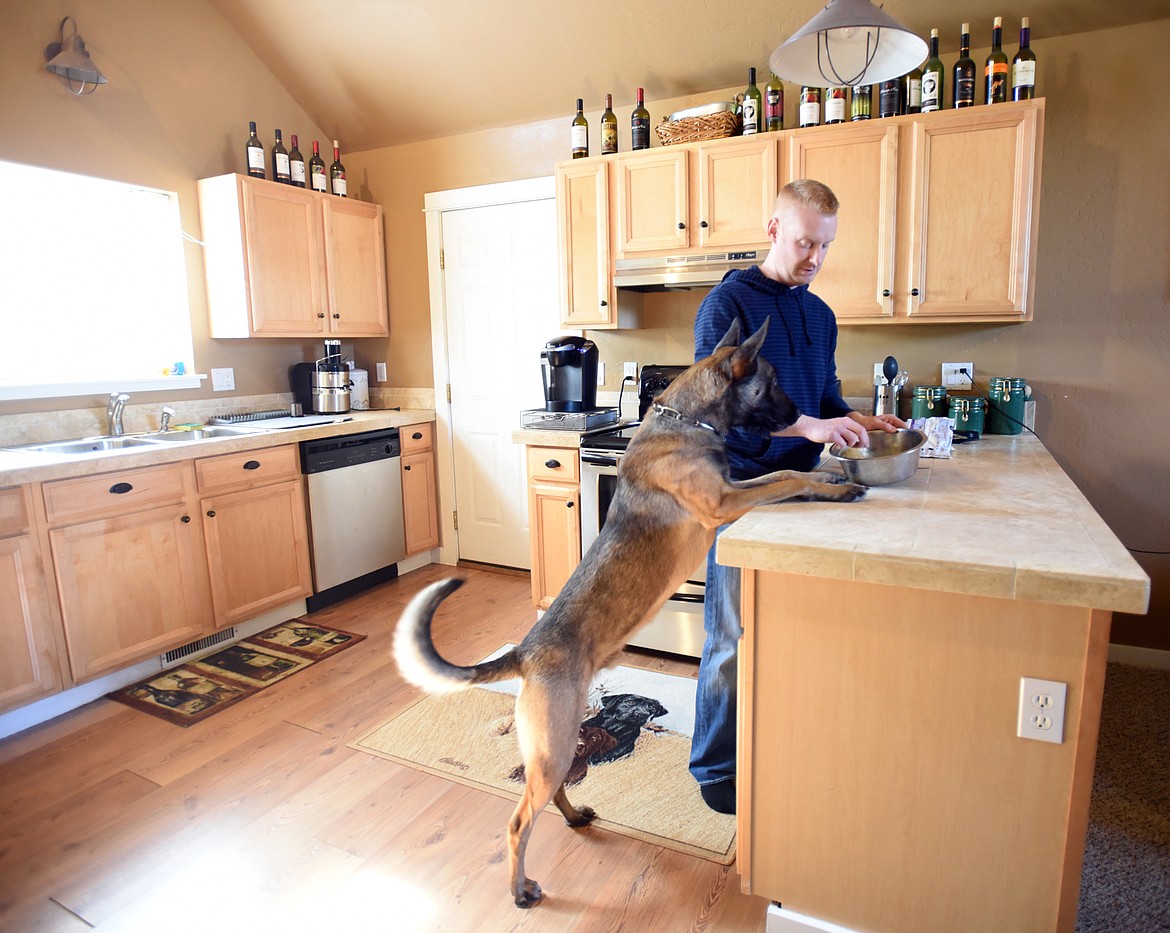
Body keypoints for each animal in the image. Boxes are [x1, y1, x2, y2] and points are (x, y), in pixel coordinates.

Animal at [390, 318, 861, 903]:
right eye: (770, 383)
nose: (805, 416)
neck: (687, 419)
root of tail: (525, 651)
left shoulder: (735, 489)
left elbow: (782, 481)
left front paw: (833, 478)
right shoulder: (723, 502)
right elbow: (786, 480)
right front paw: (835, 482)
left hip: (561, 739)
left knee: (554, 792)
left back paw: (575, 818)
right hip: (552, 743)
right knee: (519, 821)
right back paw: (521, 888)